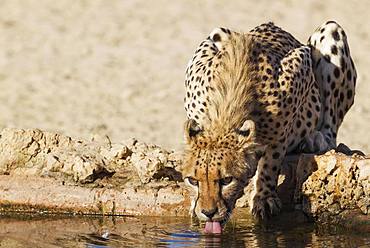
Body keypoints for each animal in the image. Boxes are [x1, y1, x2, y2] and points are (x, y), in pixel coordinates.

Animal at [181, 20, 356, 232]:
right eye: (193, 180)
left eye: (226, 180)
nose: (208, 212)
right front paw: (194, 204)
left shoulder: (302, 62)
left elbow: (273, 155)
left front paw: (264, 197)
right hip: (219, 32)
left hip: (331, 31)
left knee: (330, 129)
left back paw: (316, 139)